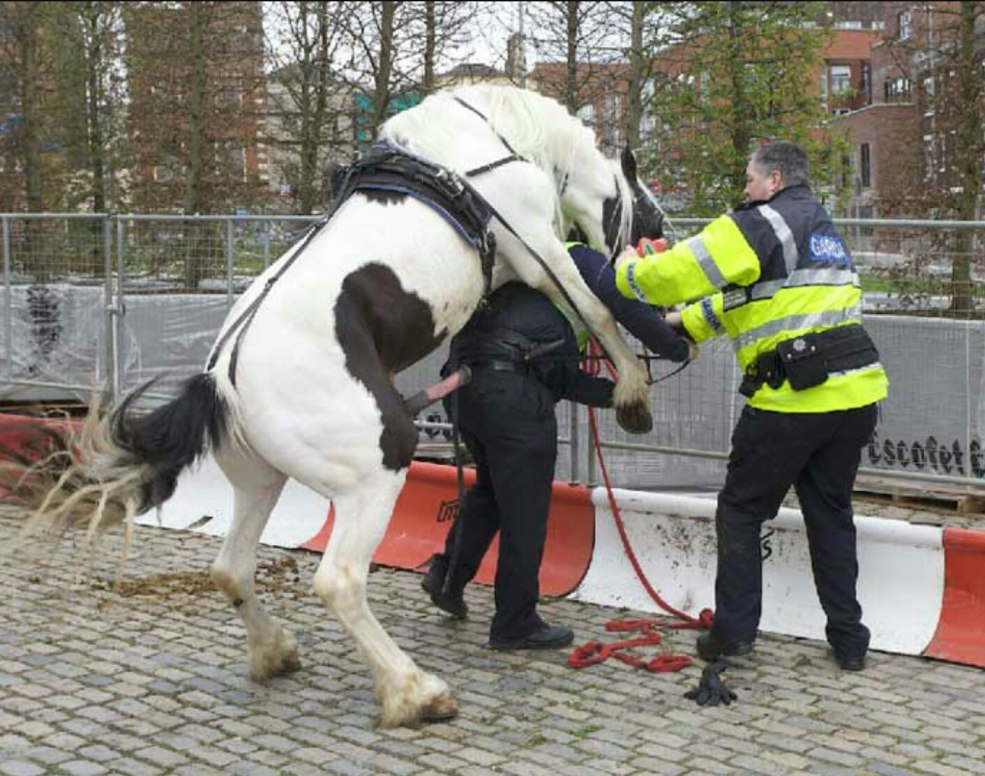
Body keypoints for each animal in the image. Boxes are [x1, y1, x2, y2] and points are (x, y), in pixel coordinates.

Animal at [2, 84, 665, 727]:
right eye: (650, 213)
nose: (654, 247)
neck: (487, 138)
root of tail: (222, 381)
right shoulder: (539, 251)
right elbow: (595, 309)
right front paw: (633, 391)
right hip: (375, 476)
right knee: (339, 581)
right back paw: (412, 691)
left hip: (261, 482)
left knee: (232, 568)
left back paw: (275, 653)